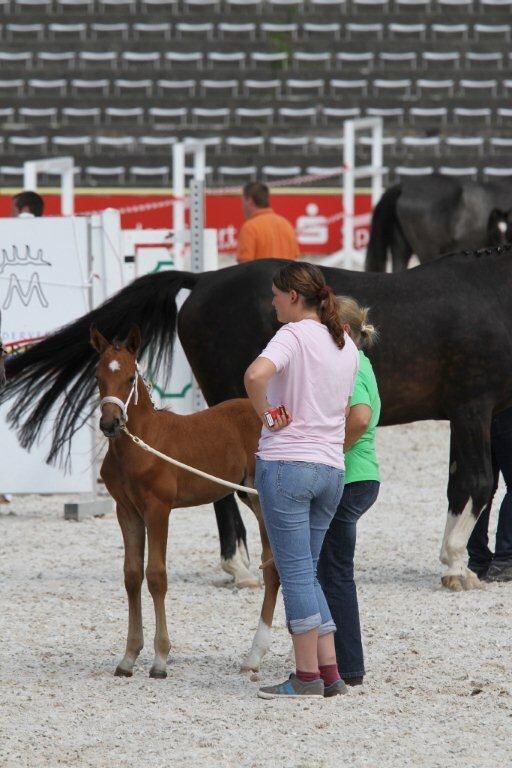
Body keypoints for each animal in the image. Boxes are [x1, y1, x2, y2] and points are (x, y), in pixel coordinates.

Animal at [3, 249, 512, 592]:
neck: (495, 295)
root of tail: (205, 279)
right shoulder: (472, 407)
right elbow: (478, 482)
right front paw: (455, 566)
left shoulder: (471, 415)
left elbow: (465, 484)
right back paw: (242, 568)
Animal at [90, 324, 278, 680]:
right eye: (97, 377)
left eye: (131, 379)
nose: (110, 424)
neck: (141, 443)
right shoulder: (127, 511)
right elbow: (132, 575)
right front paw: (128, 657)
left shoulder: (158, 509)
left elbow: (156, 576)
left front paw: (160, 660)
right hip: (251, 498)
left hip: (264, 502)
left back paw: (258, 656)